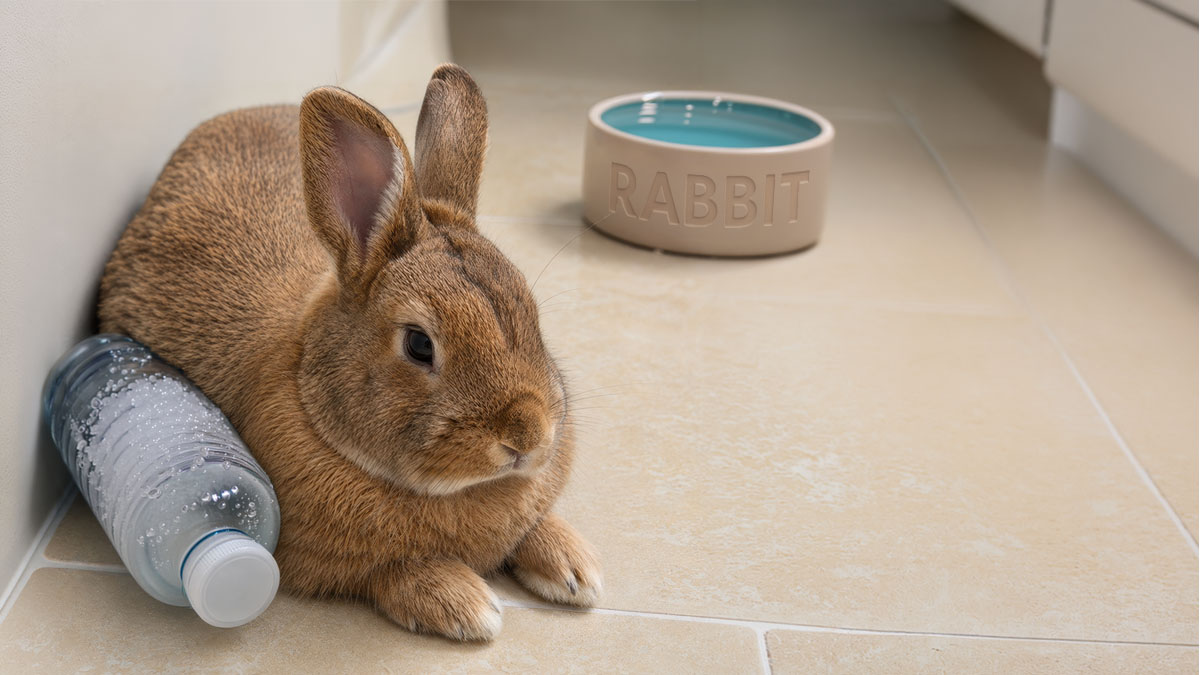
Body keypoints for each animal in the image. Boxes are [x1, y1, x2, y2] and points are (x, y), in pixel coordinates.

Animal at [97, 64, 601, 641]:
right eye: (419, 344)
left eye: (531, 314)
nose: (527, 436)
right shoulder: (326, 561)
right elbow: (391, 573)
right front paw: (469, 606)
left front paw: (574, 569)